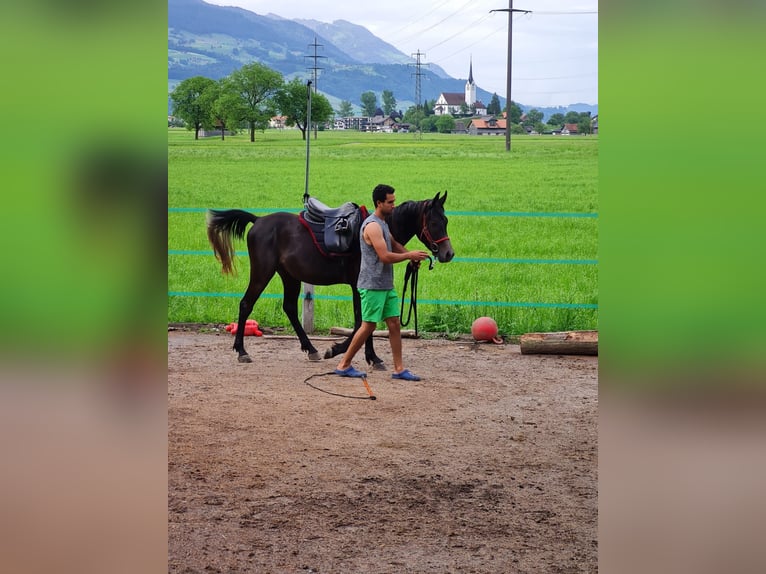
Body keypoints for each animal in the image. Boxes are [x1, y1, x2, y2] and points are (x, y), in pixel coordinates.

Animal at [207, 194, 452, 364]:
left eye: (446, 221)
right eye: (433, 223)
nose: (448, 253)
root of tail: (258, 221)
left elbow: (364, 322)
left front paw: (366, 356)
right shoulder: (358, 286)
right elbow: (361, 322)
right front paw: (344, 351)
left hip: (289, 276)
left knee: (289, 308)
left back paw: (311, 349)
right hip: (262, 273)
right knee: (246, 304)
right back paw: (241, 351)